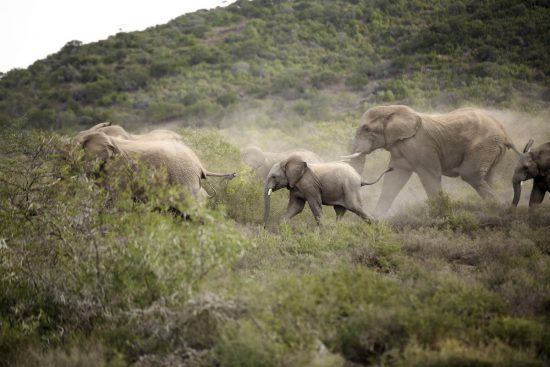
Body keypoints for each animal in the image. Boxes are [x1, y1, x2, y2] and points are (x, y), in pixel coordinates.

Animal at [344, 105, 520, 217]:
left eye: (367, 129)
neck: (392, 110)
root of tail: (504, 132)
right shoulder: (400, 148)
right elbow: (393, 180)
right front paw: (377, 219)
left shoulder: (420, 146)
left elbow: (430, 175)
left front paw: (440, 216)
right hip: (492, 149)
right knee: (487, 177)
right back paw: (495, 210)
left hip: (483, 146)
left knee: (470, 175)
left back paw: (502, 210)